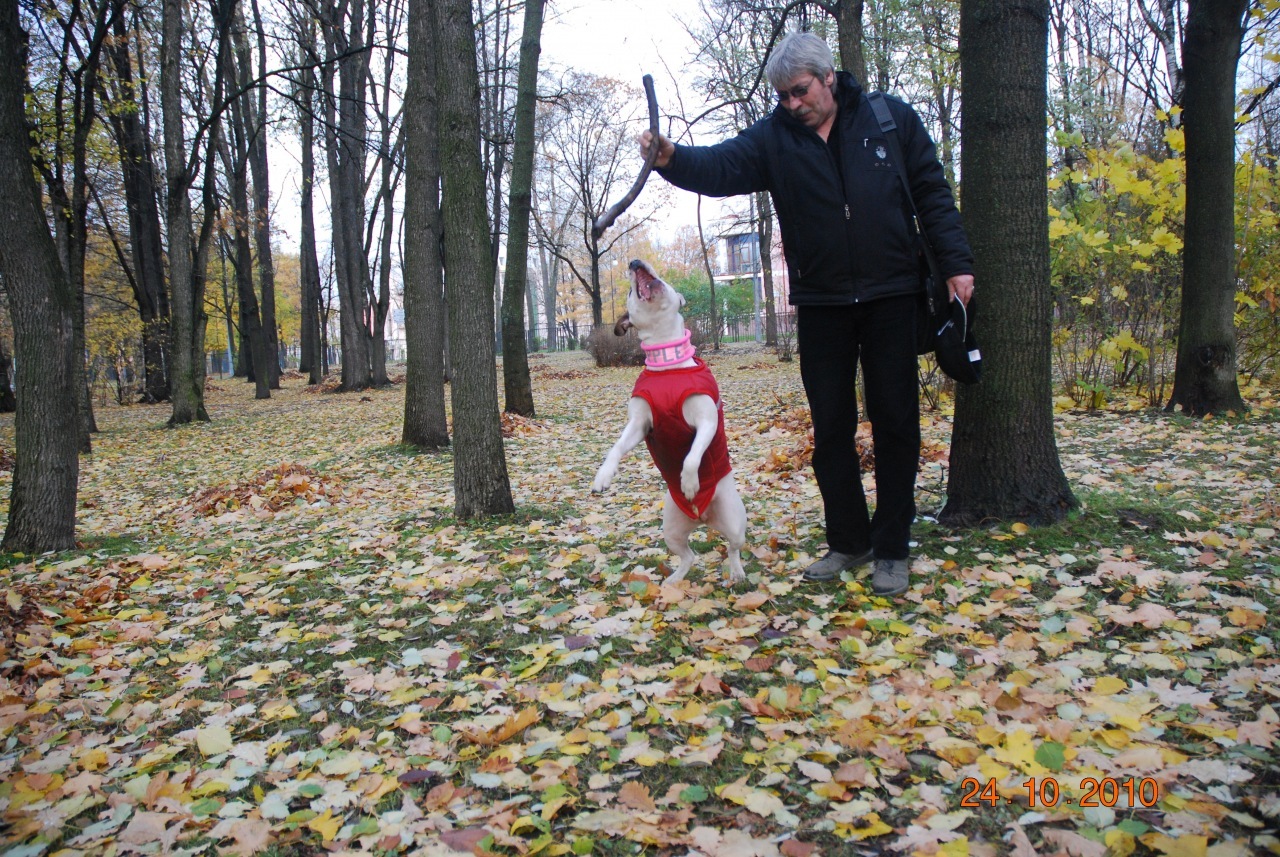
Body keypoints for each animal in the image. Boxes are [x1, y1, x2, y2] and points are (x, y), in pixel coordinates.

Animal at [591, 259, 747, 583]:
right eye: (629, 291)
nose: (635, 262)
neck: (667, 361)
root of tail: (704, 518)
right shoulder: (639, 424)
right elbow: (616, 448)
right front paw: (603, 476)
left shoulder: (706, 421)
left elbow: (692, 455)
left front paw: (689, 482)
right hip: (671, 530)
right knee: (689, 556)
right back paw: (675, 580)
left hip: (735, 522)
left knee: (732, 547)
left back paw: (737, 572)